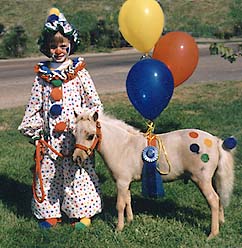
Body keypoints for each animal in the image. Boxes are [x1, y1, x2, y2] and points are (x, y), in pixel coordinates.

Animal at [73, 112, 234, 238]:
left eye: (90, 136)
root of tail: (215, 140)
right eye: (74, 134)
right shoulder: (127, 183)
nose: (77, 158)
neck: (123, 146)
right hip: (212, 180)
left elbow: (120, 205)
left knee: (213, 200)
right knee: (219, 197)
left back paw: (212, 234)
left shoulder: (121, 182)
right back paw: (220, 222)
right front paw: (130, 220)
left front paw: (119, 228)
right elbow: (128, 200)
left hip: (202, 180)